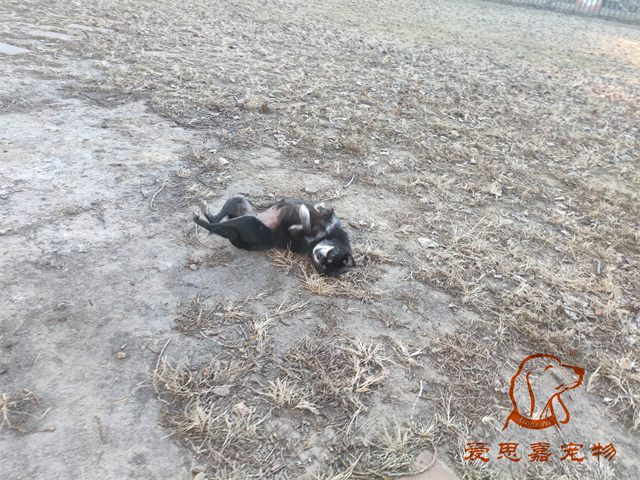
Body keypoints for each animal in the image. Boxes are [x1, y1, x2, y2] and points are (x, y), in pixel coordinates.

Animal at [193, 195, 355, 276]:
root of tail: (238, 240)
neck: (324, 237)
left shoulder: (299, 234)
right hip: (237, 200)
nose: (319, 255)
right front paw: (320, 207)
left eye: (320, 266)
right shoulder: (332, 221)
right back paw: (204, 209)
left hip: (247, 221)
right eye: (332, 254)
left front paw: (303, 215)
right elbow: (328, 210)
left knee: (214, 225)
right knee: (216, 219)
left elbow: (304, 224)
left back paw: (199, 218)